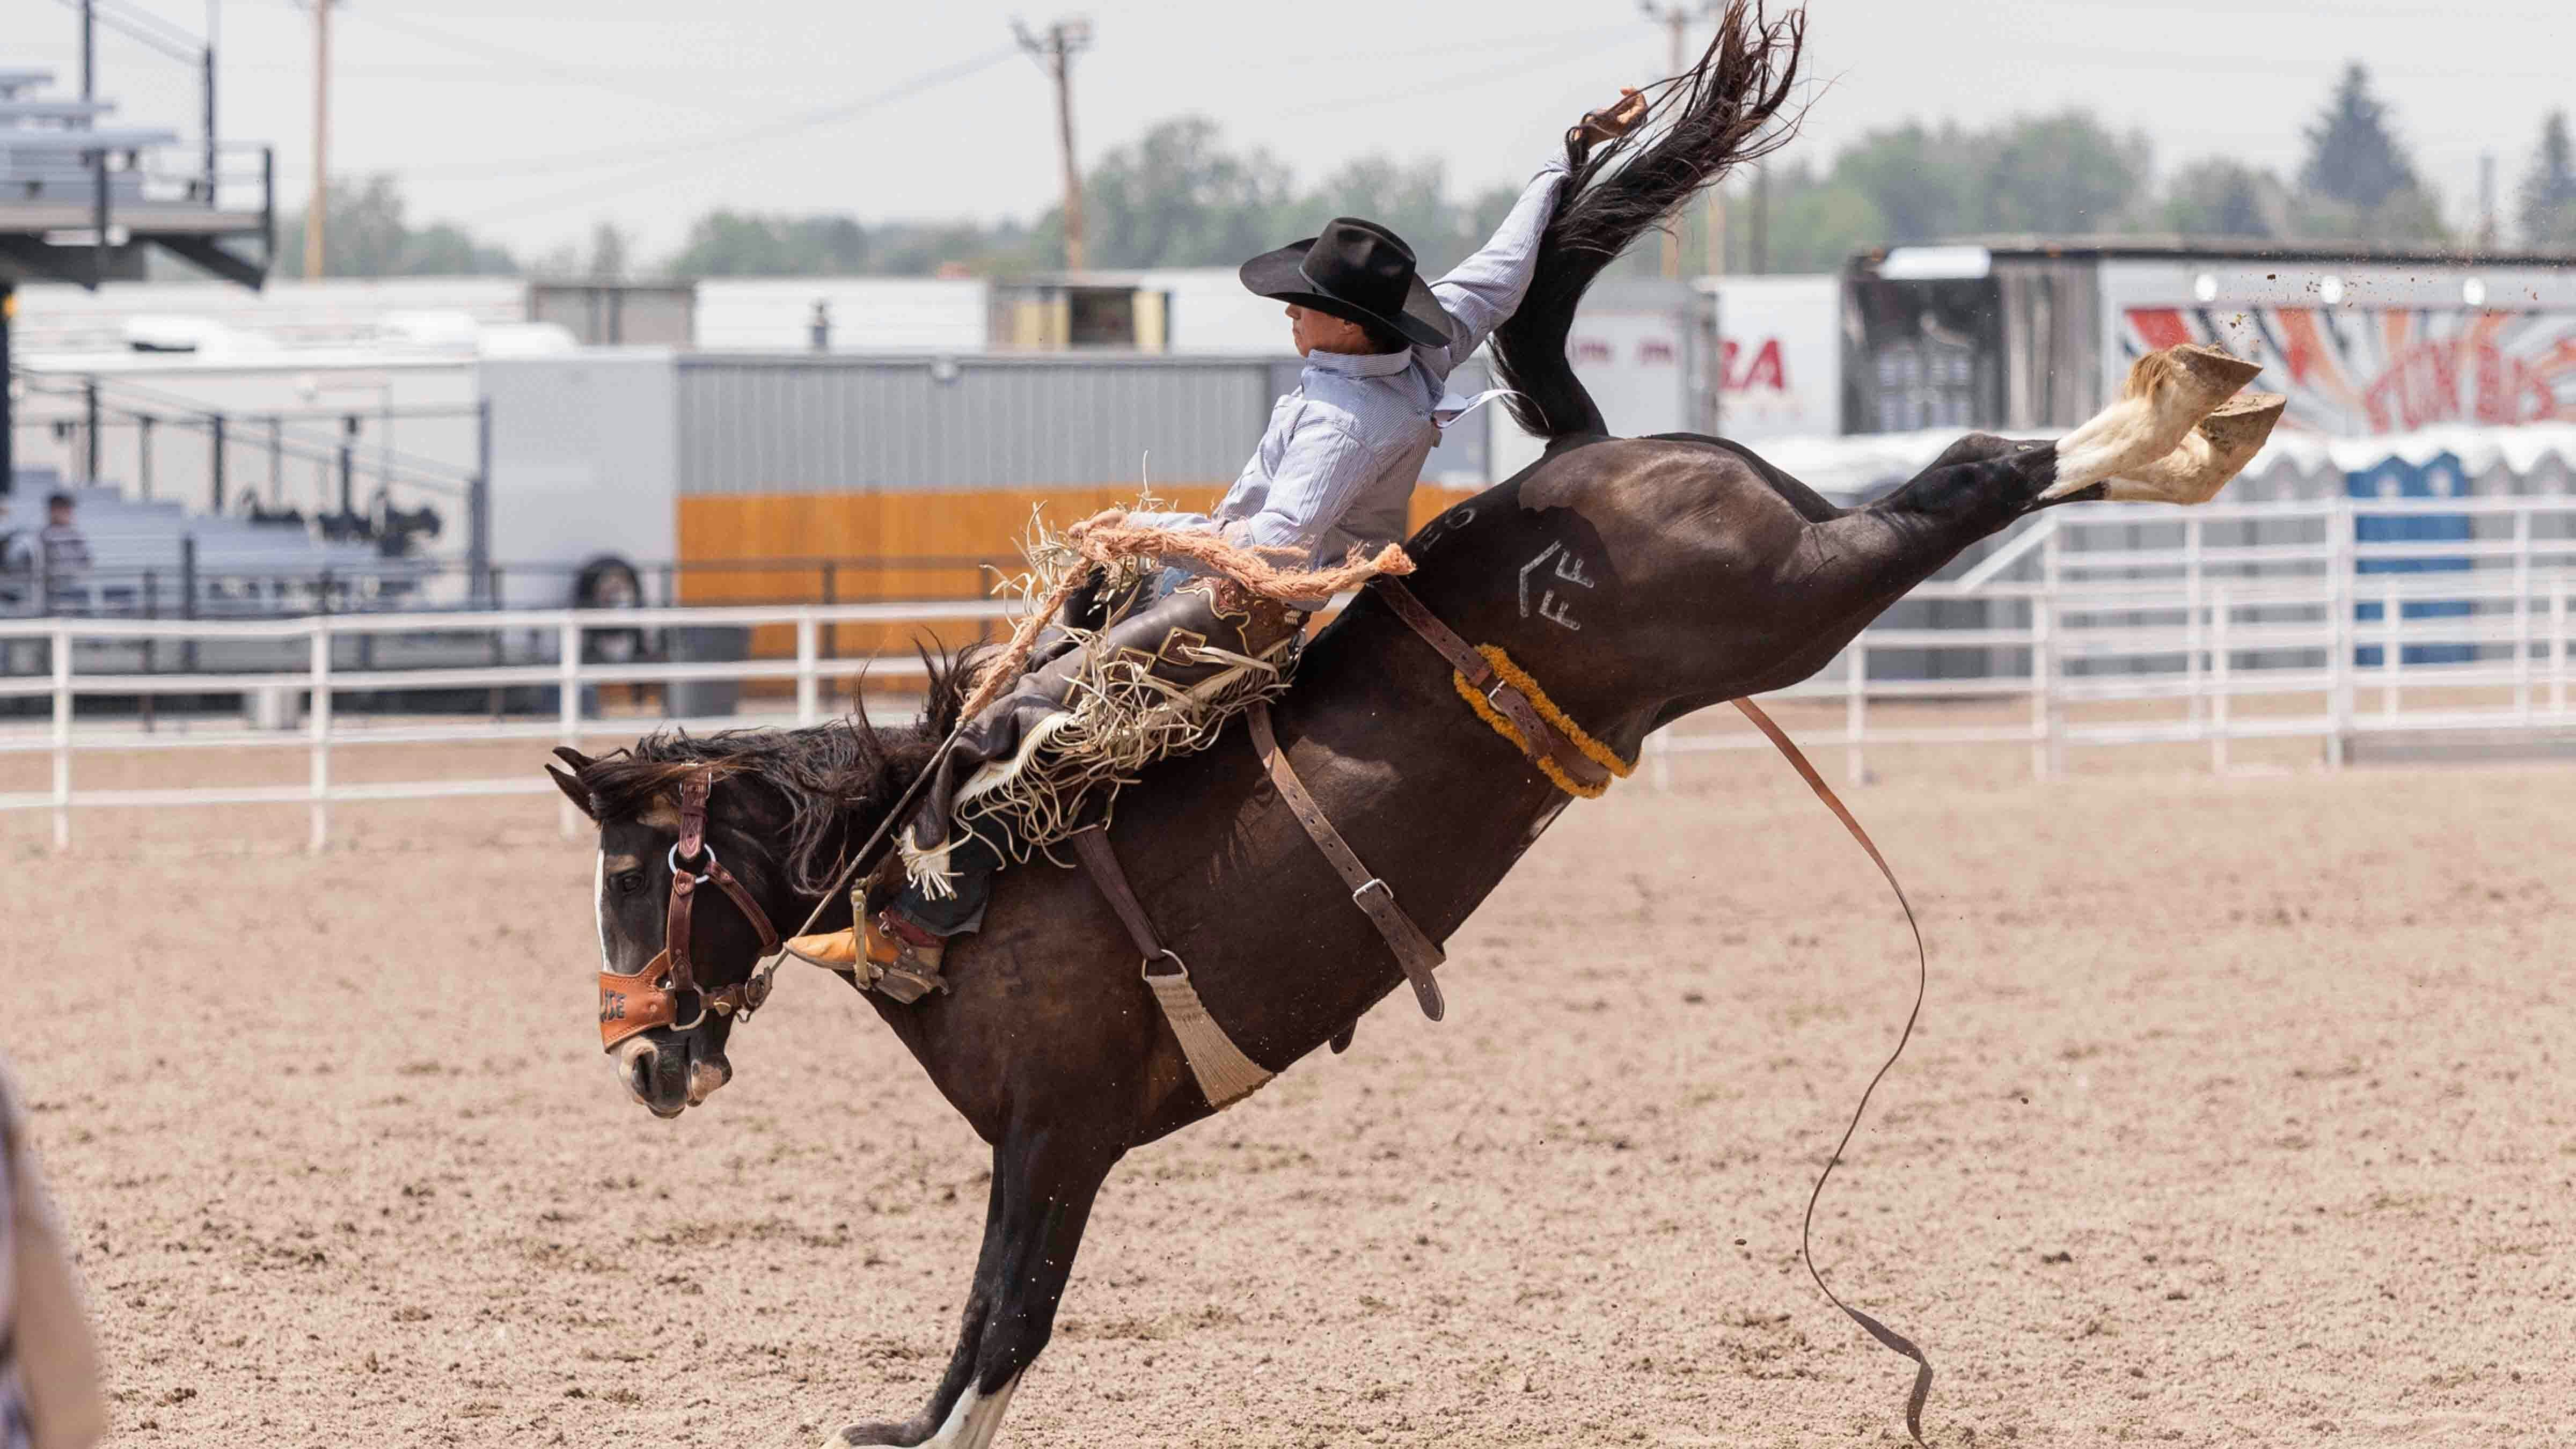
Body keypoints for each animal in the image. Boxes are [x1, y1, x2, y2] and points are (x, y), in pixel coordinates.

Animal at [543, 5, 2277, 1433]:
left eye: (638, 876)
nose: (639, 1066)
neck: (922, 879)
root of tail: (1585, 455)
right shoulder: (1038, 1151)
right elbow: (980, 1352)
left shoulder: (1055, 1137)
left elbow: (996, 1342)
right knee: (1959, 478)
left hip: (1794, 600)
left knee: (1977, 476)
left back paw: (2181, 407)